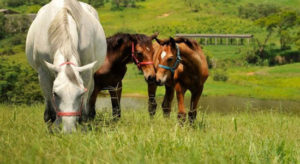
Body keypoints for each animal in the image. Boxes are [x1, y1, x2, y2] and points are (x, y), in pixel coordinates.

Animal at [25, 0, 106, 132]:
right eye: (55, 94)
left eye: (80, 94)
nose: (69, 129)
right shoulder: (43, 74)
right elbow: (50, 112)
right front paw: (54, 128)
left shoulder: (86, 73)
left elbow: (84, 109)